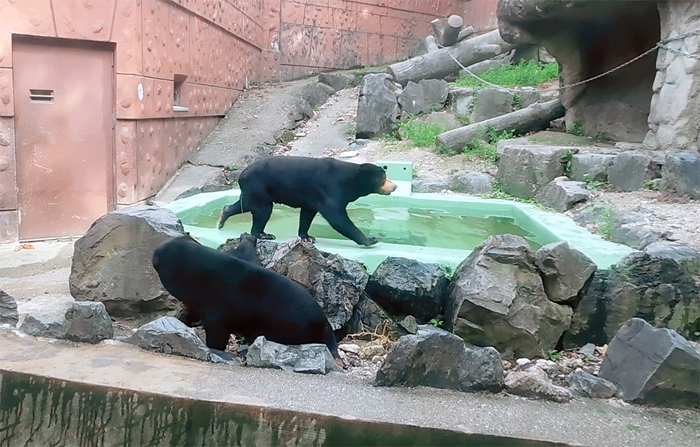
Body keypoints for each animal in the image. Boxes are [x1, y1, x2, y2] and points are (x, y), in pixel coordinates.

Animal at [216, 156, 396, 247]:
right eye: (384, 178)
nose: (395, 186)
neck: (350, 181)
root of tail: (241, 174)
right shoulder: (330, 189)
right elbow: (337, 218)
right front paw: (371, 239)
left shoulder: (313, 197)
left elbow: (307, 214)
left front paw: (306, 237)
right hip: (259, 187)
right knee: (262, 210)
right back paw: (262, 234)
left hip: (254, 190)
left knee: (245, 204)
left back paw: (223, 216)